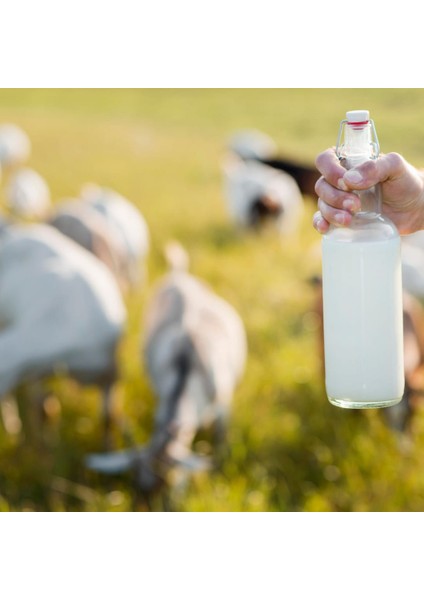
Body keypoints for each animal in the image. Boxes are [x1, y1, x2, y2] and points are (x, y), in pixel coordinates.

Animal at [86, 239, 247, 496]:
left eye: (167, 481)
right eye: (135, 484)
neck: (187, 368)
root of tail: (178, 275)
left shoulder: (224, 405)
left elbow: (220, 439)